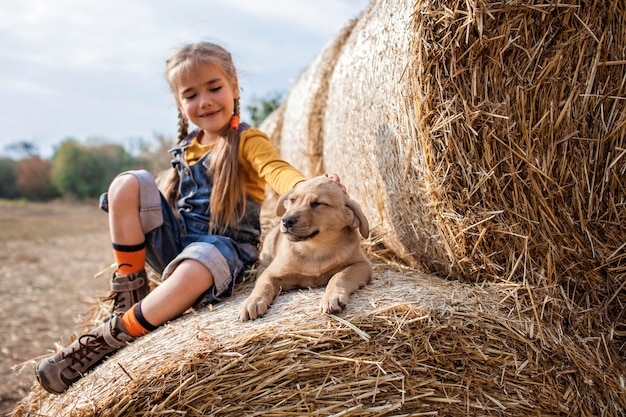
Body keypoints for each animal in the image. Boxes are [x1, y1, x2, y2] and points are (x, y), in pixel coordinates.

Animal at [239, 174, 370, 320]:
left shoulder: (362, 264)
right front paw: (253, 301)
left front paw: (331, 298)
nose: (286, 220)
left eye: (317, 203)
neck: (314, 249)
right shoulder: (271, 273)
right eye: (292, 200)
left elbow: (340, 276)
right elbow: (263, 285)